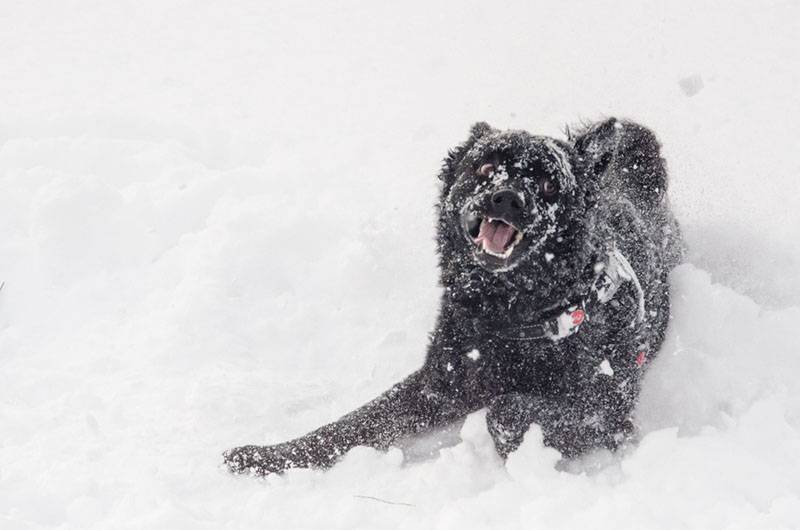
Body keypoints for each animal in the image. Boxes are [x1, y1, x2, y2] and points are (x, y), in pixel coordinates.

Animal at [225, 118, 680, 474]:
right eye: (486, 166)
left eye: (550, 184)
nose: (507, 198)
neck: (507, 316)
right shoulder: (437, 385)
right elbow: (351, 424)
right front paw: (268, 457)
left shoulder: (609, 406)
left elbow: (506, 410)